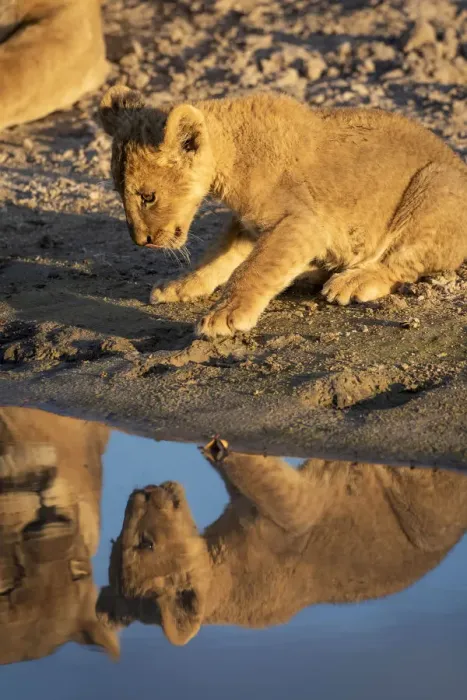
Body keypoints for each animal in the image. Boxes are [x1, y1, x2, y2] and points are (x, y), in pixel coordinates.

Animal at [98, 86, 467, 338]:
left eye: (148, 197)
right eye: (118, 192)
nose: (141, 241)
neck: (230, 155)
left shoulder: (301, 222)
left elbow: (253, 269)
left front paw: (225, 316)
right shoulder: (248, 224)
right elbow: (216, 256)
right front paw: (181, 285)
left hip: (433, 183)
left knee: (402, 263)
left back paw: (353, 280)